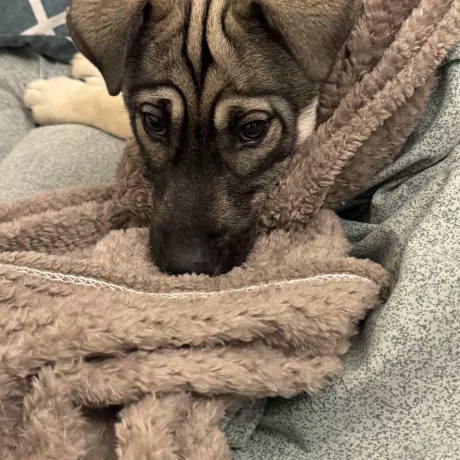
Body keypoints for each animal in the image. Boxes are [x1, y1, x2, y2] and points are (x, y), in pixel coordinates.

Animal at [24, 0, 360, 276]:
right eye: (154, 122)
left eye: (253, 129)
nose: (186, 267)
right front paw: (87, 68)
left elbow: (110, 108)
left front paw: (57, 96)